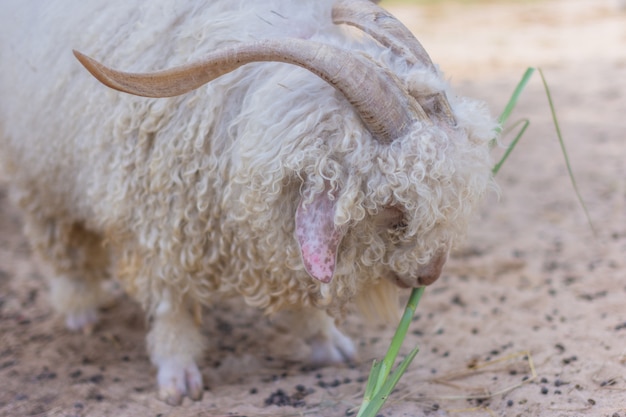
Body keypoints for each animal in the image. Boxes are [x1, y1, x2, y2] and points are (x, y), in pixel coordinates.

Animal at [0, 0, 498, 404]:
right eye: (395, 212)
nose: (428, 275)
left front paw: (327, 343)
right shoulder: (156, 222)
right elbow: (169, 302)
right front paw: (178, 375)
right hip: (38, 173)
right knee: (59, 243)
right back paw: (80, 309)